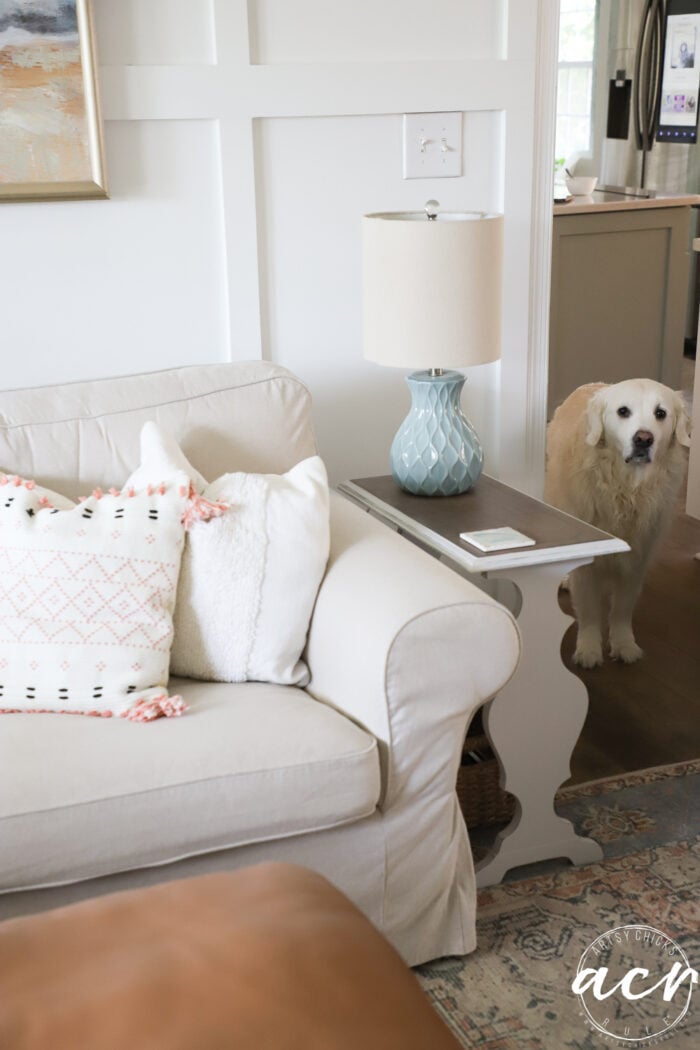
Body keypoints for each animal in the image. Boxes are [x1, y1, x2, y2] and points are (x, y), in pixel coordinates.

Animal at [545, 382, 688, 667]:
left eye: (661, 413)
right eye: (623, 411)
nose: (643, 439)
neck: (626, 488)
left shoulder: (637, 560)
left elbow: (622, 610)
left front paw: (624, 644)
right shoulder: (587, 565)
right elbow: (589, 610)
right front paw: (589, 649)